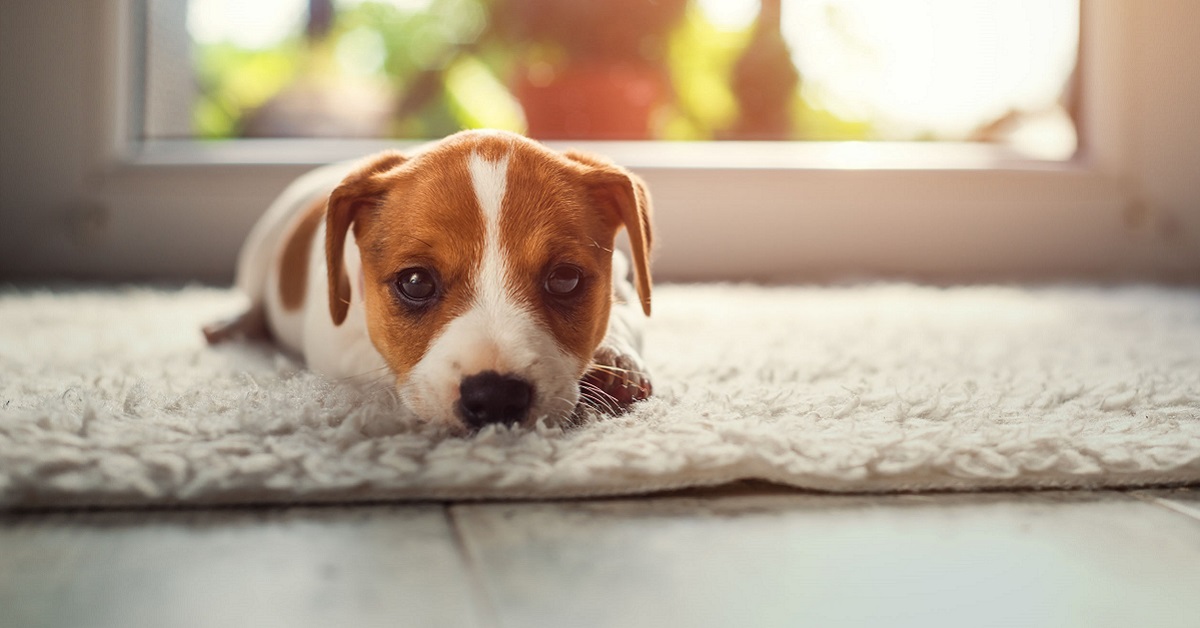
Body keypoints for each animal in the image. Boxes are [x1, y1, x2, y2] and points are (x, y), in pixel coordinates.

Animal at [208, 127, 657, 432]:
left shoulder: (622, 280)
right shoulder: (331, 338)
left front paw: (616, 360)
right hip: (258, 253)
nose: (496, 397)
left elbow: (626, 312)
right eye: (415, 282)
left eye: (565, 278)